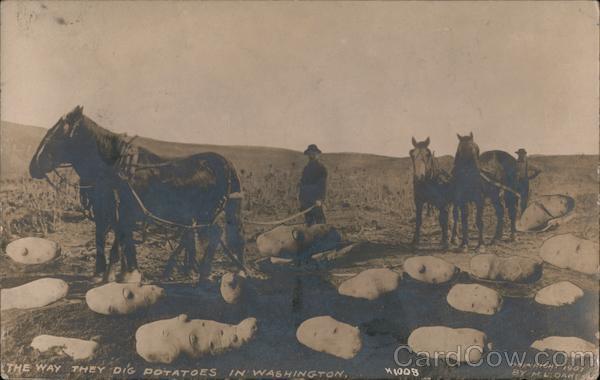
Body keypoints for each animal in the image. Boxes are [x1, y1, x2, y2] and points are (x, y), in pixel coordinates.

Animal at [29, 105, 245, 284]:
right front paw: (122, 272)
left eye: (58, 134)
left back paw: (204, 274)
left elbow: (121, 238)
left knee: (215, 234)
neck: (115, 167)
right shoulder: (113, 210)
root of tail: (224, 162)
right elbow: (117, 237)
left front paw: (123, 273)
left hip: (206, 213)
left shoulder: (123, 209)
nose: (33, 166)